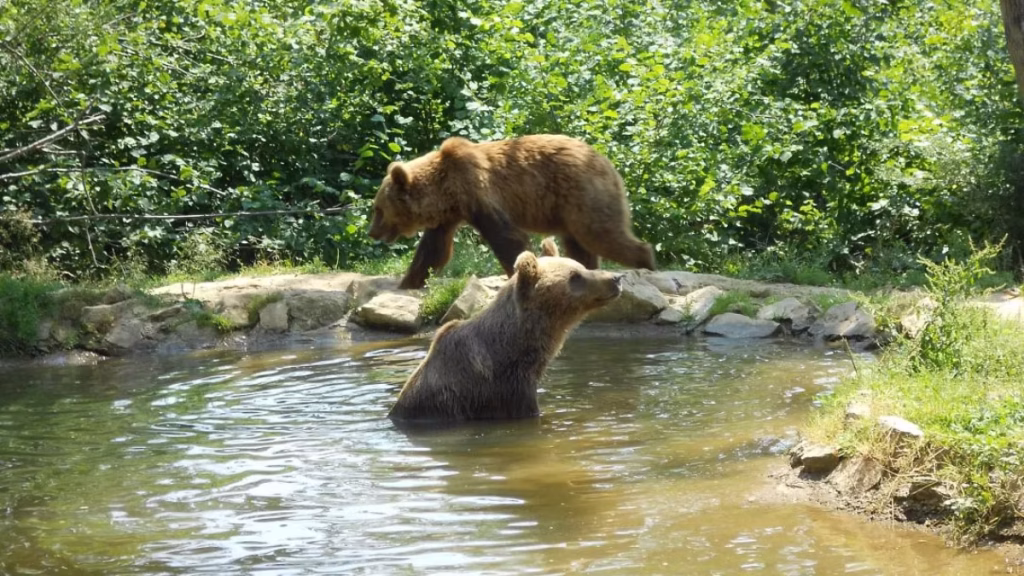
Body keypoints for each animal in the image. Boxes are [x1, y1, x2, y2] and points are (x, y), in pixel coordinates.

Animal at [368, 134, 656, 290]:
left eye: (378, 209)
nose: (372, 232)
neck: (446, 191)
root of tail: (608, 163)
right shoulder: (448, 216)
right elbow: (433, 250)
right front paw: (408, 282)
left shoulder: (480, 194)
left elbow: (507, 238)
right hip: (569, 210)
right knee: (580, 245)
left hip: (583, 195)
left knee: (602, 234)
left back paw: (647, 263)